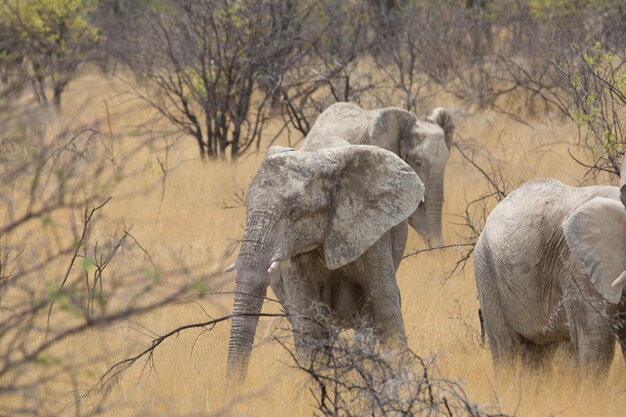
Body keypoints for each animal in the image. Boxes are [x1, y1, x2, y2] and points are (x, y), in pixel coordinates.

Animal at [224, 135, 424, 382]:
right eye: (246, 207)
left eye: (294, 212)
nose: (232, 387)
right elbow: (306, 312)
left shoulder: (373, 232)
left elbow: (384, 301)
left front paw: (403, 379)